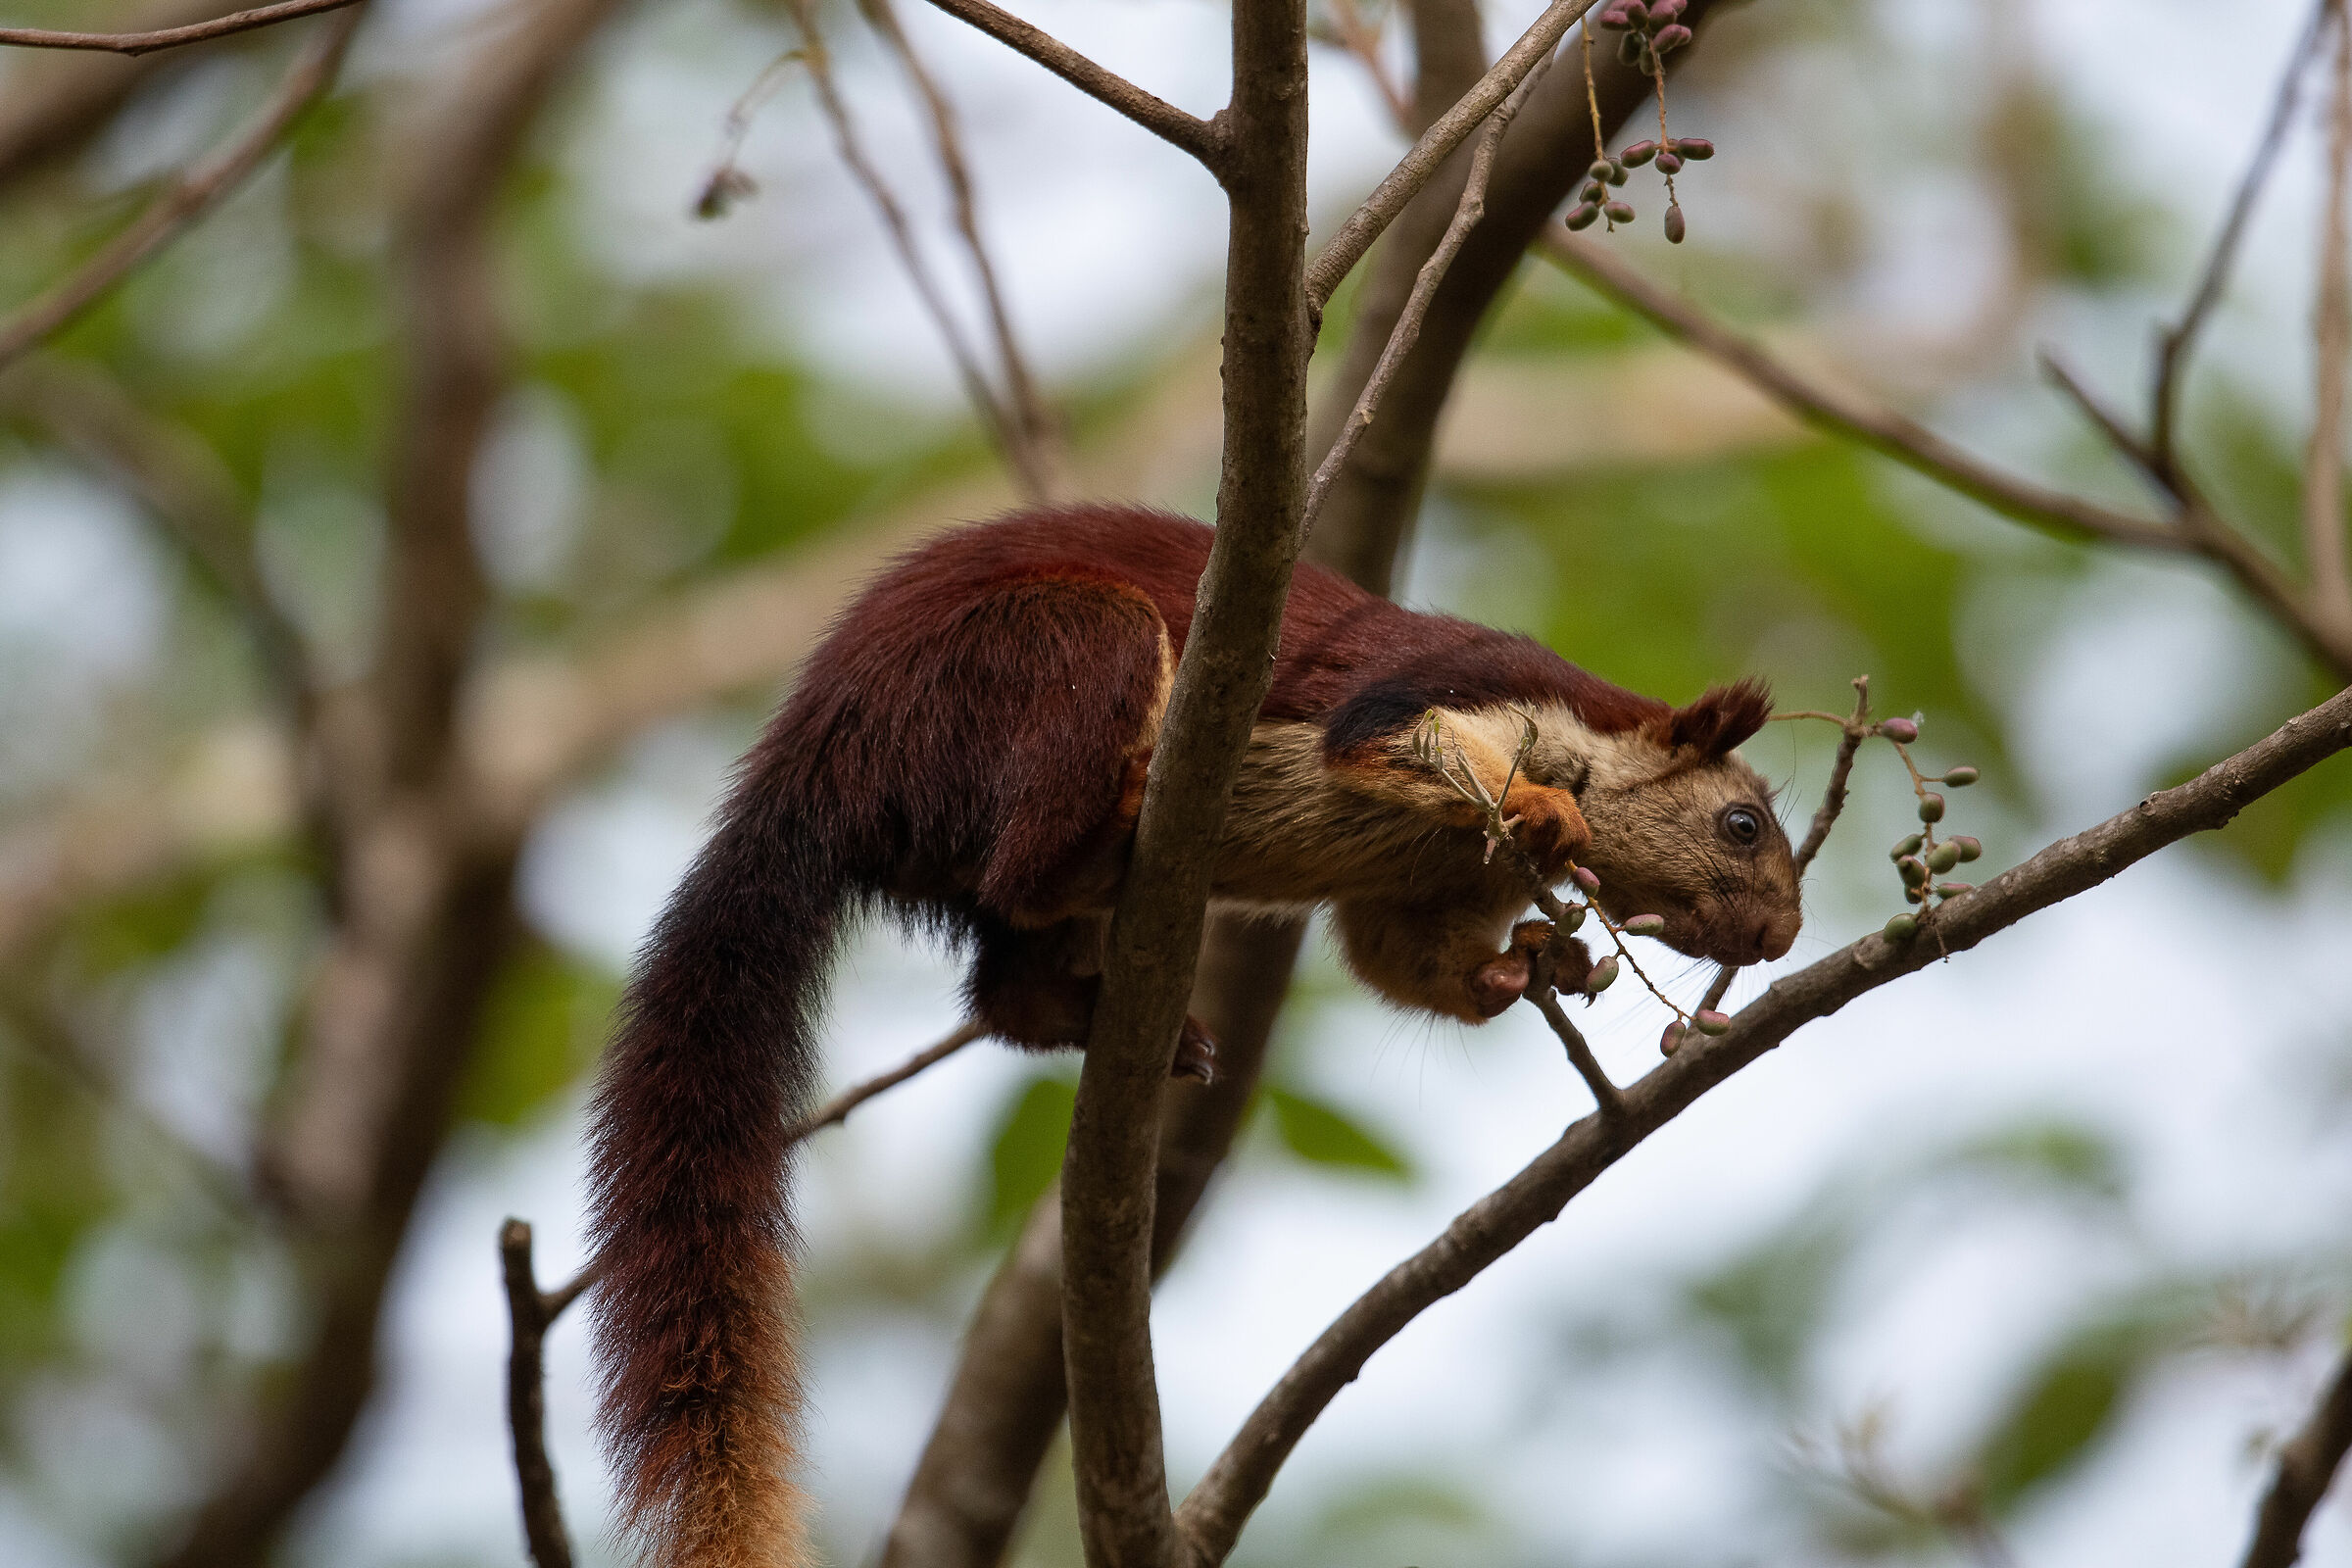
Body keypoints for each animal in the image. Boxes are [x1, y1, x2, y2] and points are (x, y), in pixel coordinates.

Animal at [583, 503, 1801, 1568]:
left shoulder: (1426, 892)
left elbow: (1401, 960)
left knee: (1003, 985)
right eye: (1743, 824)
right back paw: (1119, 821)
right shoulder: (1448, 689)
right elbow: (1391, 743)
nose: (1783, 934)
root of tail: (815, 763)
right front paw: (1545, 815)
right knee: (1036, 853)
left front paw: (1532, 964)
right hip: (1048, 655)